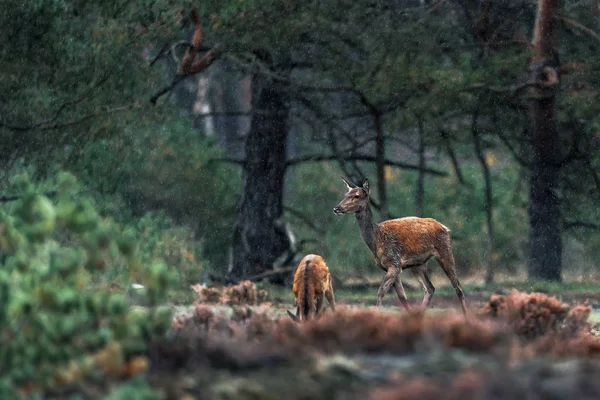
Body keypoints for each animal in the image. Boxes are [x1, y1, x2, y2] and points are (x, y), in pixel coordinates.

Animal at [332, 178, 468, 316]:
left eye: (357, 196)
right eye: (346, 195)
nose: (336, 208)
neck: (376, 240)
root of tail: (446, 228)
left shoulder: (394, 263)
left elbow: (381, 291)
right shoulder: (391, 267)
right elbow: (402, 297)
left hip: (445, 251)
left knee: (457, 287)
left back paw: (466, 315)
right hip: (418, 264)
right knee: (430, 288)